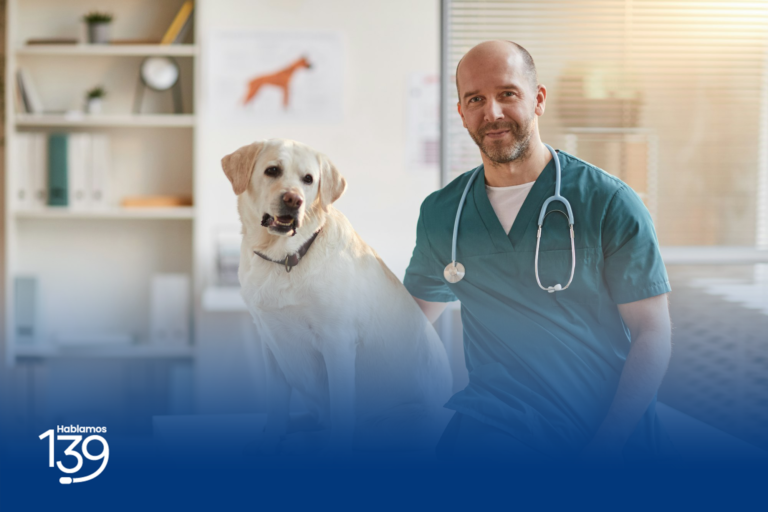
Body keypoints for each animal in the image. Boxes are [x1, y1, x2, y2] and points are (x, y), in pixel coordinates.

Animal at [219, 138, 452, 454]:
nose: (293, 200)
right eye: (272, 170)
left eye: (308, 179)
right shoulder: (270, 342)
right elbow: (277, 410)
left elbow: (342, 416)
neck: (287, 257)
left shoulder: (337, 343)